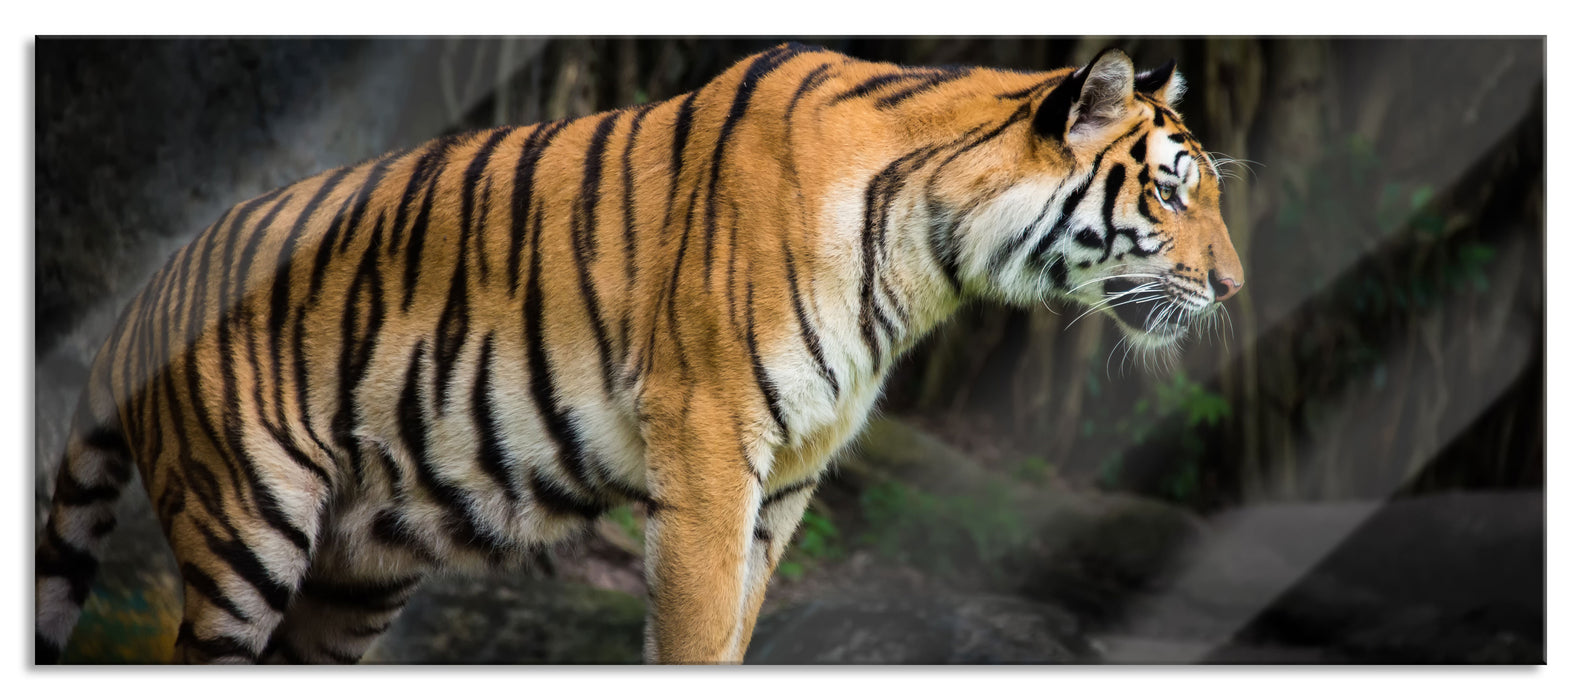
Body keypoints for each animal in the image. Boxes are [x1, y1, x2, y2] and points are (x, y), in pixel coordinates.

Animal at [35, 42, 1243, 665]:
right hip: (246, 525)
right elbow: (696, 635)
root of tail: (145, 295)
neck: (928, 260)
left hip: (355, 571)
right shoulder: (708, 444)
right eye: (1171, 193)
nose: (1233, 289)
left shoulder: (789, 479)